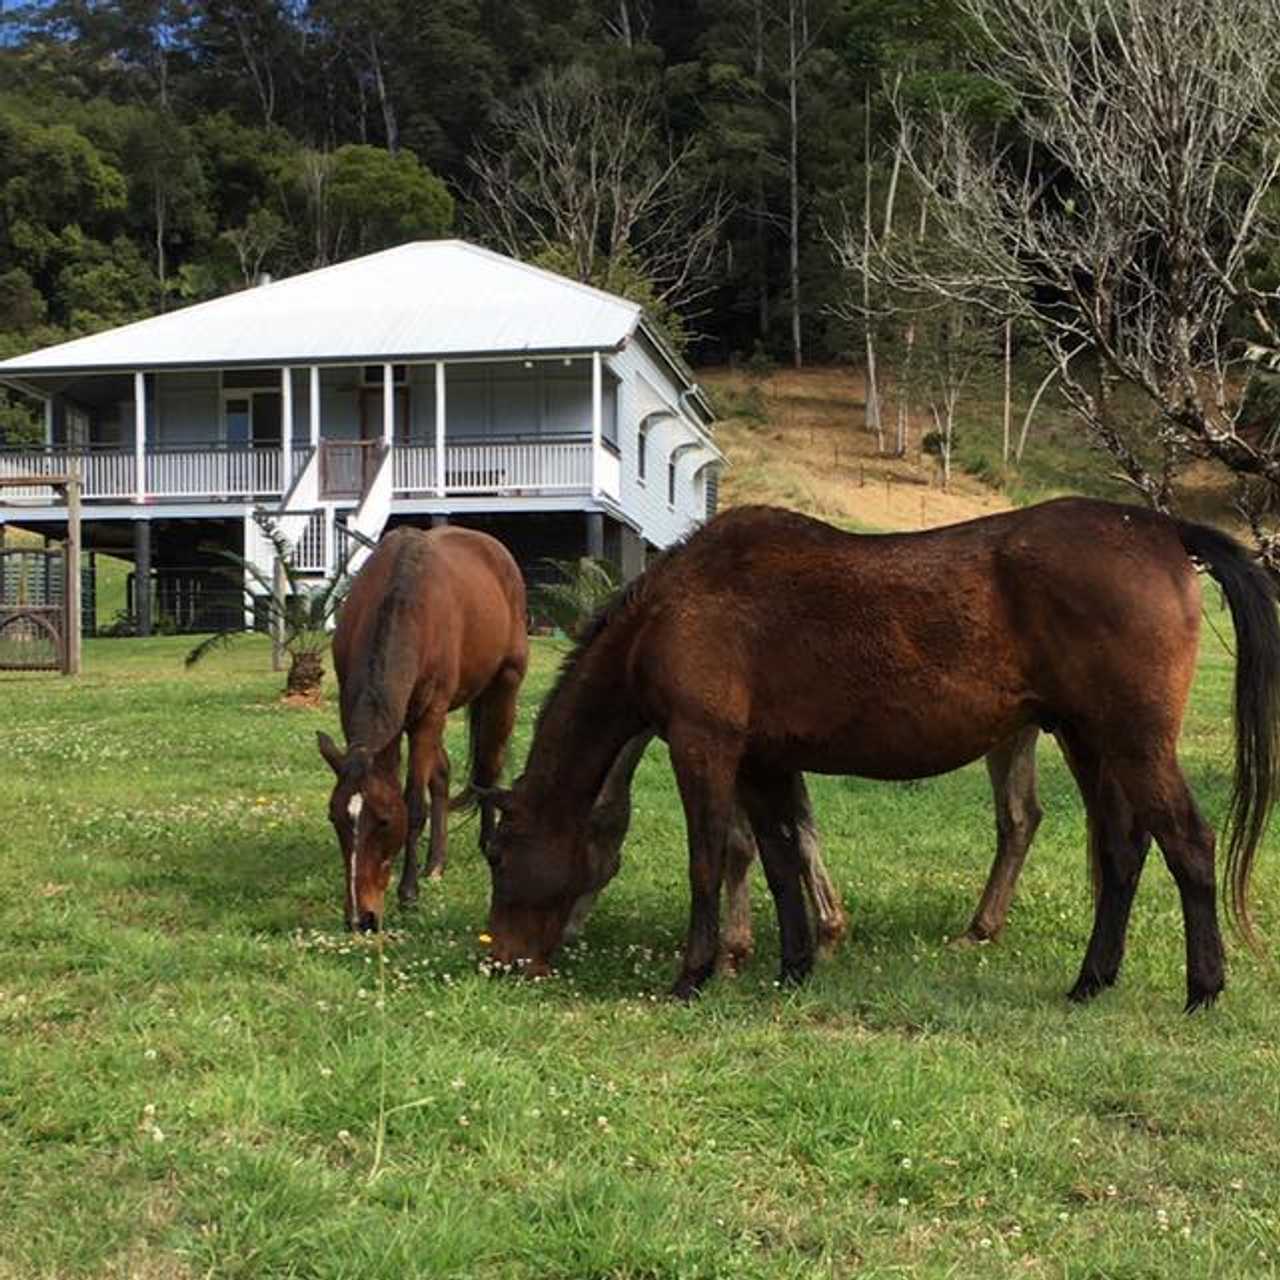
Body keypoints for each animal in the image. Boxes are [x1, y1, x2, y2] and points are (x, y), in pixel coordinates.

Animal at [318, 525, 528, 932]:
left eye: (384, 821)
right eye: (334, 818)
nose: (360, 918)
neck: (407, 603)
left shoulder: (429, 715)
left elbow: (415, 804)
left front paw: (408, 891)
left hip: (503, 688)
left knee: (488, 767)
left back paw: (488, 845)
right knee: (443, 774)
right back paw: (436, 863)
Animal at [484, 499, 1280, 1010]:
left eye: (499, 855)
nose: (499, 958)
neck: (671, 610)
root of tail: (1161, 529)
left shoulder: (703, 744)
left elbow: (709, 860)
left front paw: (694, 975)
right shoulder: (764, 762)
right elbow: (780, 859)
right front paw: (794, 965)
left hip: (1134, 742)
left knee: (1188, 844)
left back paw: (1203, 987)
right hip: (1091, 742)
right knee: (1120, 852)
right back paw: (1090, 980)